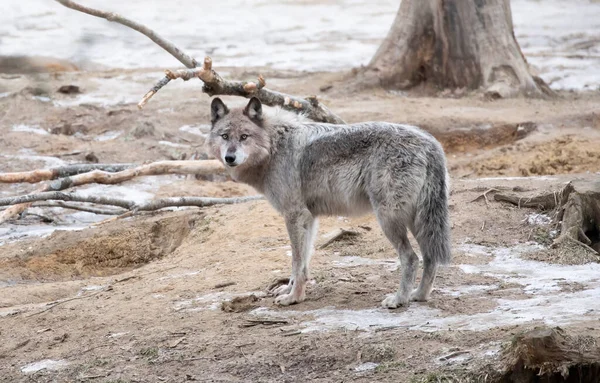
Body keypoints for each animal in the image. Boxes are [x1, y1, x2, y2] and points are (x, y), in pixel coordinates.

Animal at [206, 98, 450, 308]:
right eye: (225, 136)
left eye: (244, 136)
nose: (230, 158)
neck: (274, 146)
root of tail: (432, 144)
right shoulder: (309, 218)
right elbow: (301, 262)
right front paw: (289, 290)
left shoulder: (294, 215)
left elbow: (297, 262)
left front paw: (293, 298)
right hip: (417, 220)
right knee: (430, 257)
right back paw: (419, 295)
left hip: (389, 219)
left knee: (411, 258)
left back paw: (399, 299)